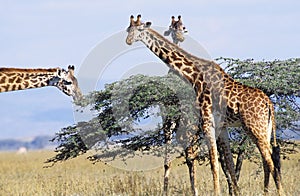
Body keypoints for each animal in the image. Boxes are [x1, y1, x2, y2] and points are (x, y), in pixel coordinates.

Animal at [125, 15, 282, 196]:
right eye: (127, 29)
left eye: (137, 30)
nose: (128, 41)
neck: (194, 75)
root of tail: (269, 103)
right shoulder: (222, 126)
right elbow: (228, 162)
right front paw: (236, 192)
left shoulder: (207, 121)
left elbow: (214, 163)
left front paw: (217, 192)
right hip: (265, 128)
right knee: (268, 159)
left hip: (254, 126)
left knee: (271, 160)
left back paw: (280, 191)